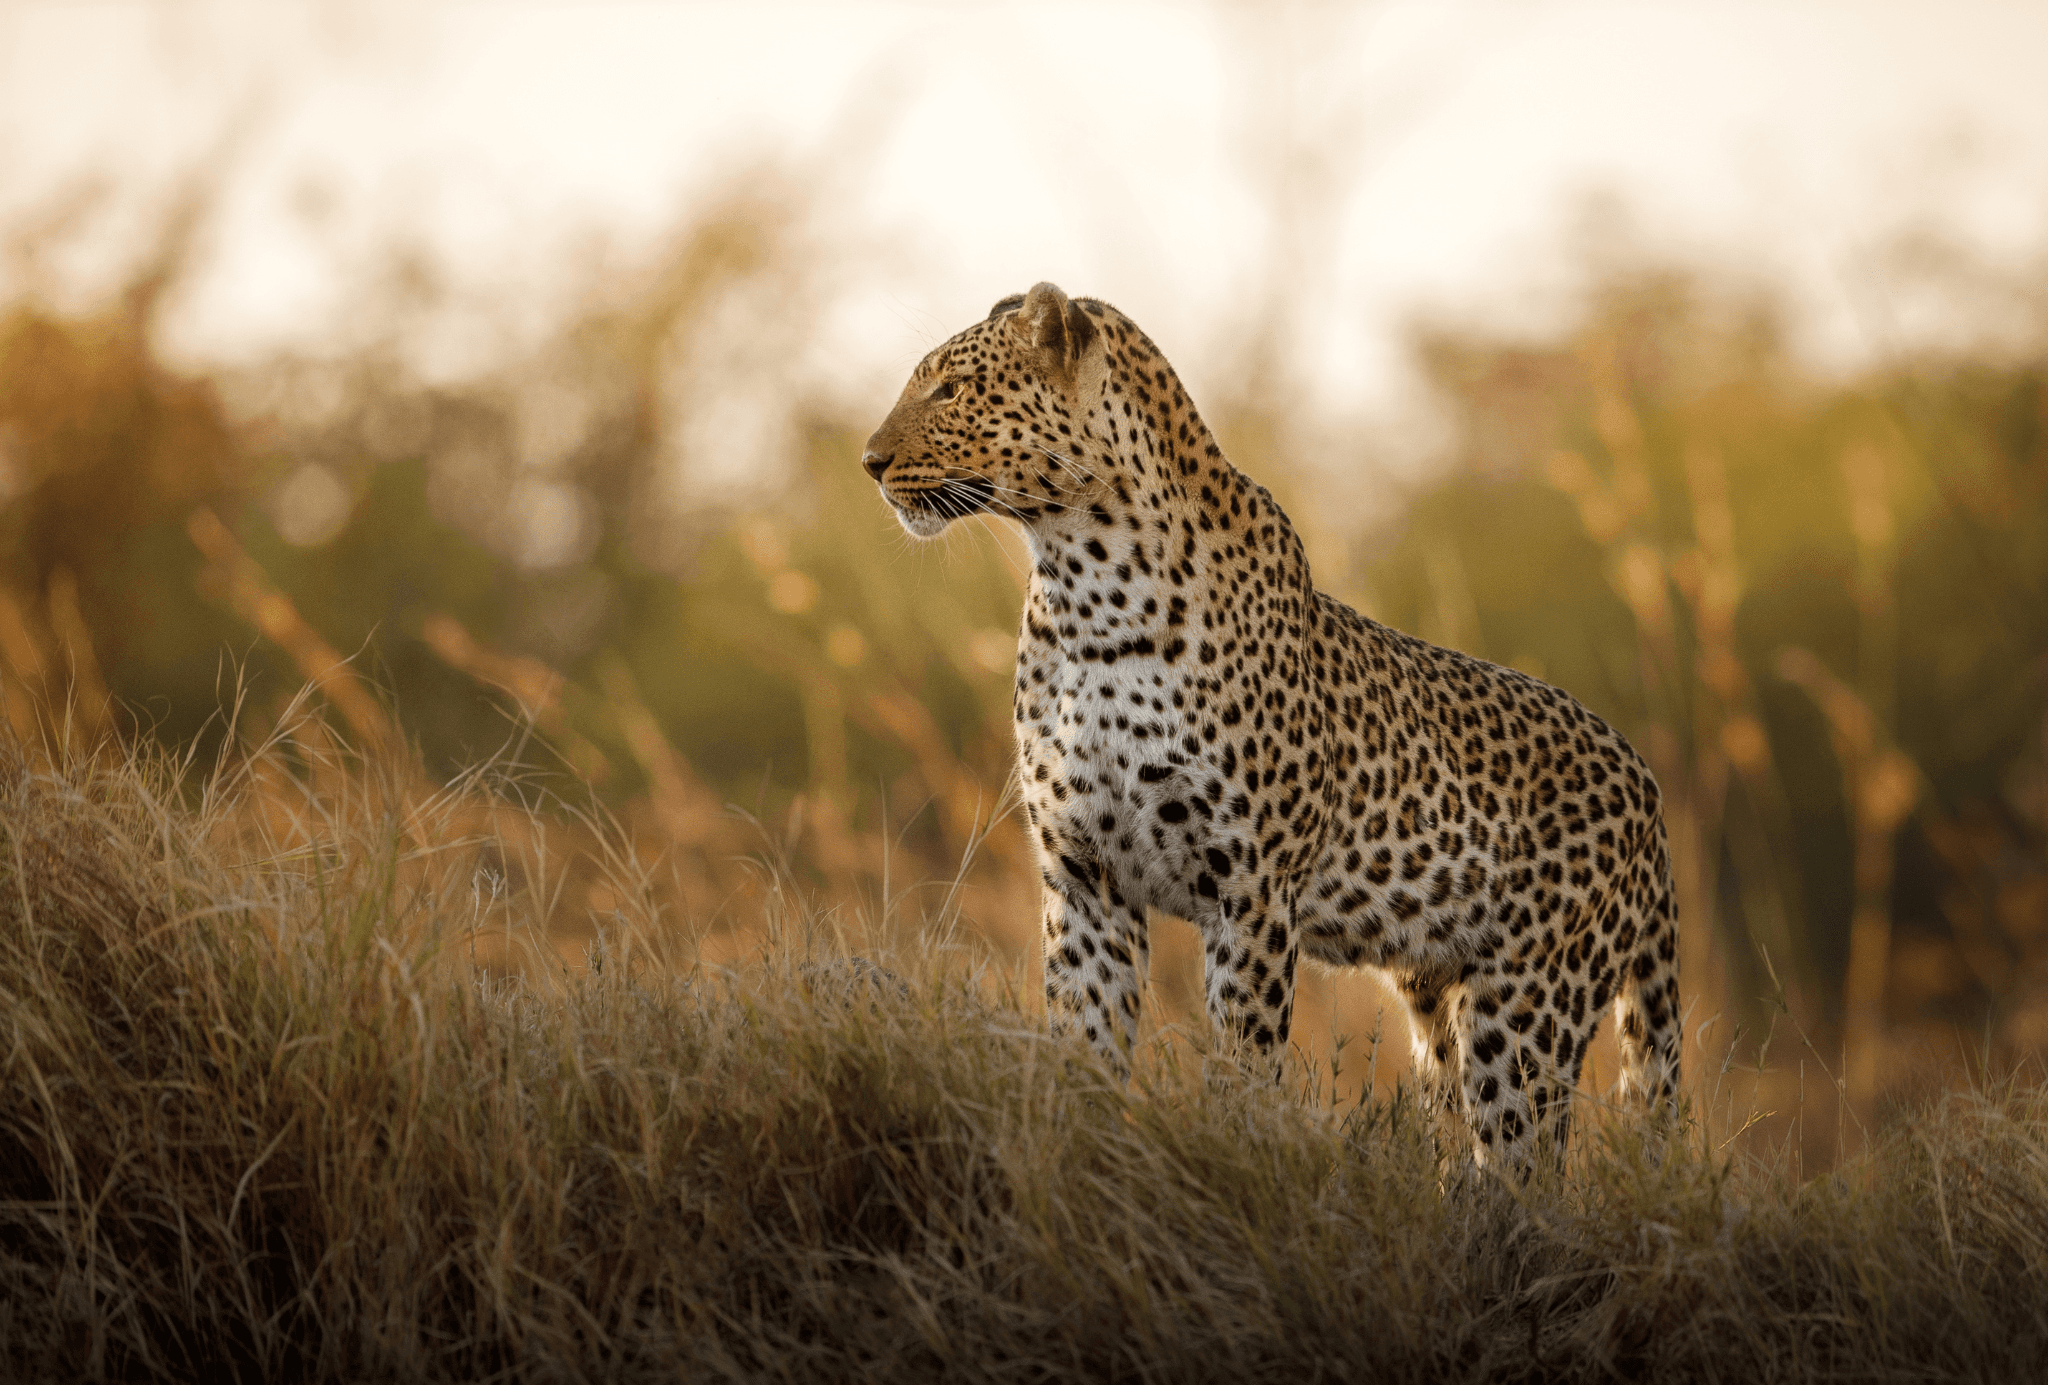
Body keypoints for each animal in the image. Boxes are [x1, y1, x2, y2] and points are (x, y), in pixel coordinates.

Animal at [861, 282, 1680, 1166]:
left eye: (950, 390)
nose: (869, 461)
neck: (1084, 585)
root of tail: (1646, 783)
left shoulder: (1249, 887)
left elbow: (1243, 1060)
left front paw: (1229, 1152)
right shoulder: (1084, 877)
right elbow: (1084, 1048)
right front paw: (1080, 1155)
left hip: (1529, 1005)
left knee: (1525, 1162)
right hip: (1439, 999)